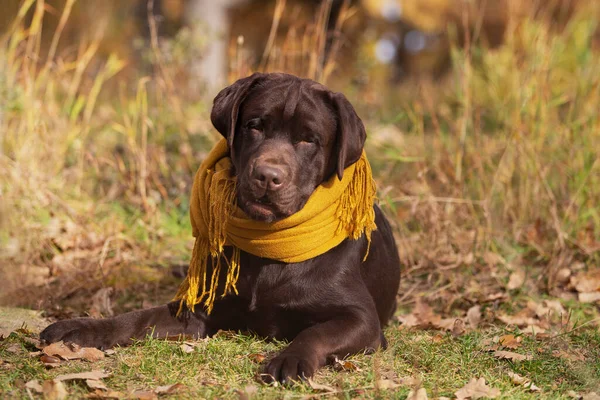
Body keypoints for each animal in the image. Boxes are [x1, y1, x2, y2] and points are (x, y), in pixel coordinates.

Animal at [39, 72, 400, 384]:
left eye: (309, 140)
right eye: (255, 126)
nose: (268, 175)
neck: (270, 241)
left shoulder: (360, 318)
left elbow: (315, 332)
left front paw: (291, 359)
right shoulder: (198, 309)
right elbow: (136, 317)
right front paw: (81, 328)